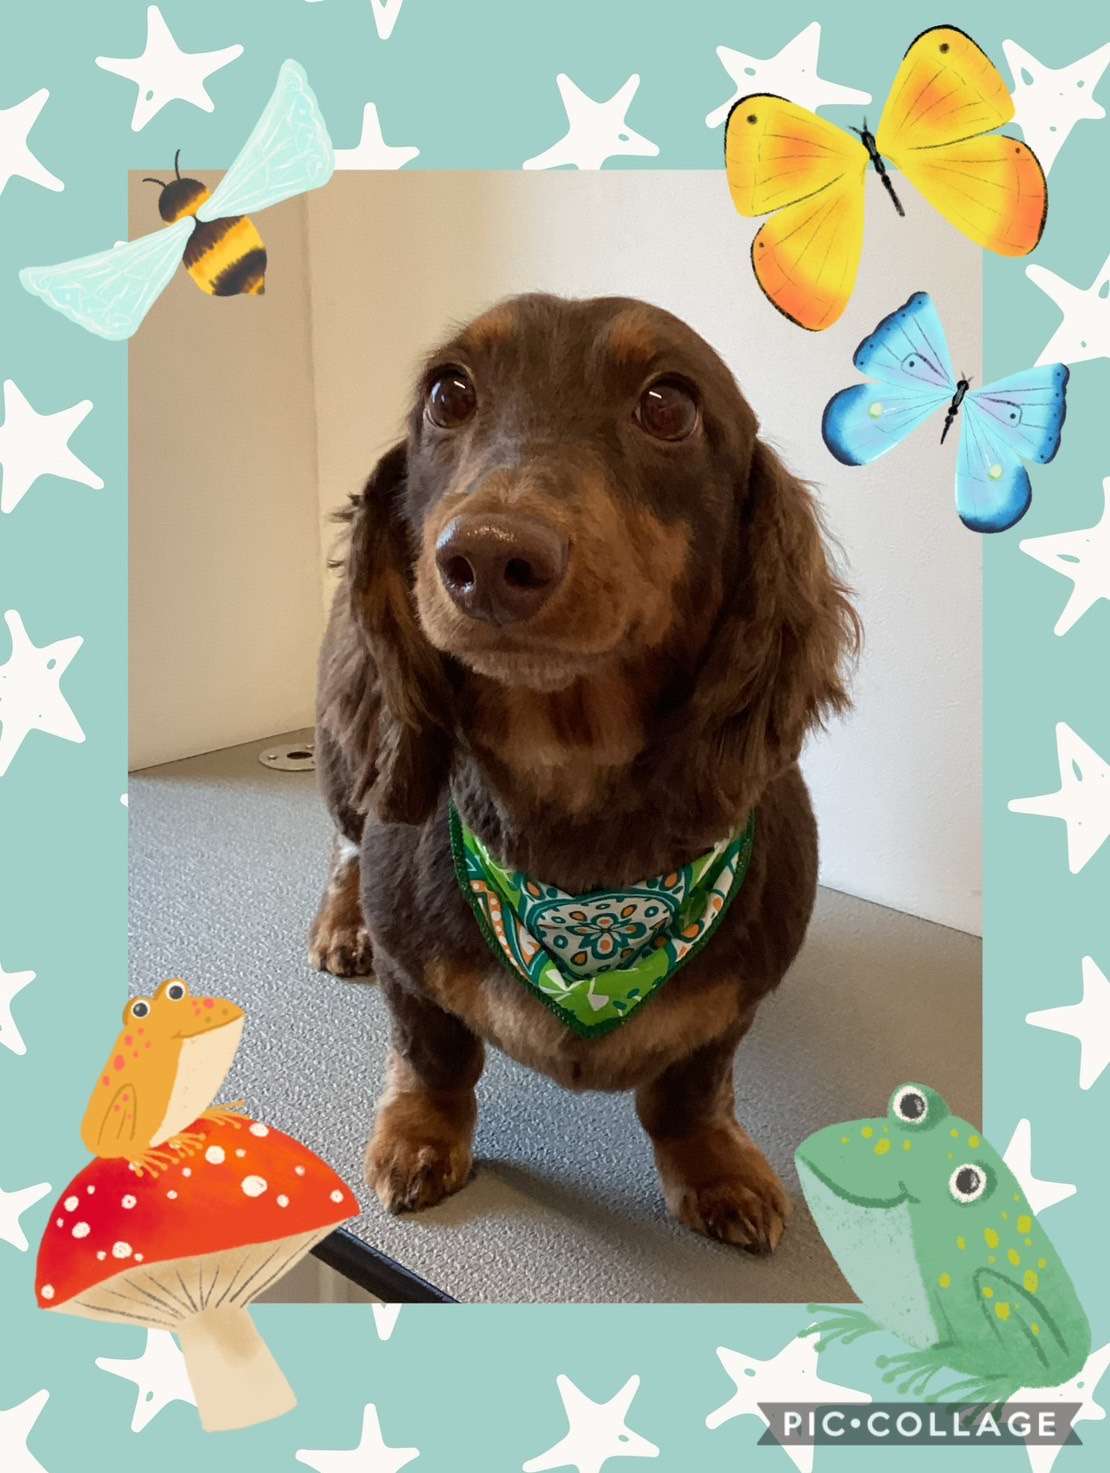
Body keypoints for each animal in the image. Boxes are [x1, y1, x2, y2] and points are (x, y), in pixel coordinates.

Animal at [310, 293, 859, 1252]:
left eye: (668, 405)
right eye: (448, 394)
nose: (488, 556)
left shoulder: (736, 1003)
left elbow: (691, 1086)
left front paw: (714, 1163)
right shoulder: (412, 974)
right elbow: (432, 1052)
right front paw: (420, 1135)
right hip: (354, 763)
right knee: (342, 845)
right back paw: (343, 925)